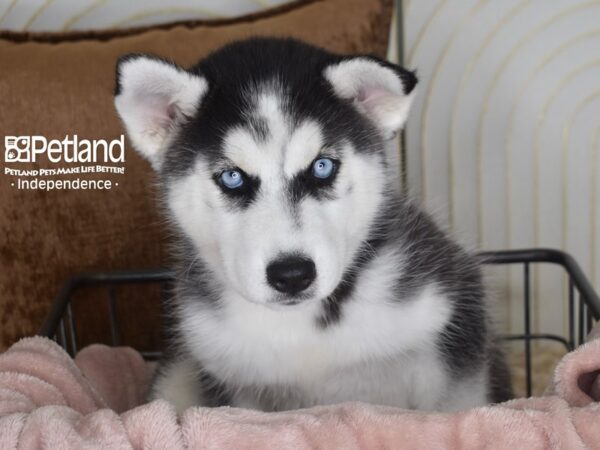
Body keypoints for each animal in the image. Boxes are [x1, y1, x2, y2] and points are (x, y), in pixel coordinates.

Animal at [113, 37, 510, 414]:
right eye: (231, 177)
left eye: (322, 167)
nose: (292, 274)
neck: (304, 331)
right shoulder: (233, 378)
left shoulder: (454, 317)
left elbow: (455, 408)